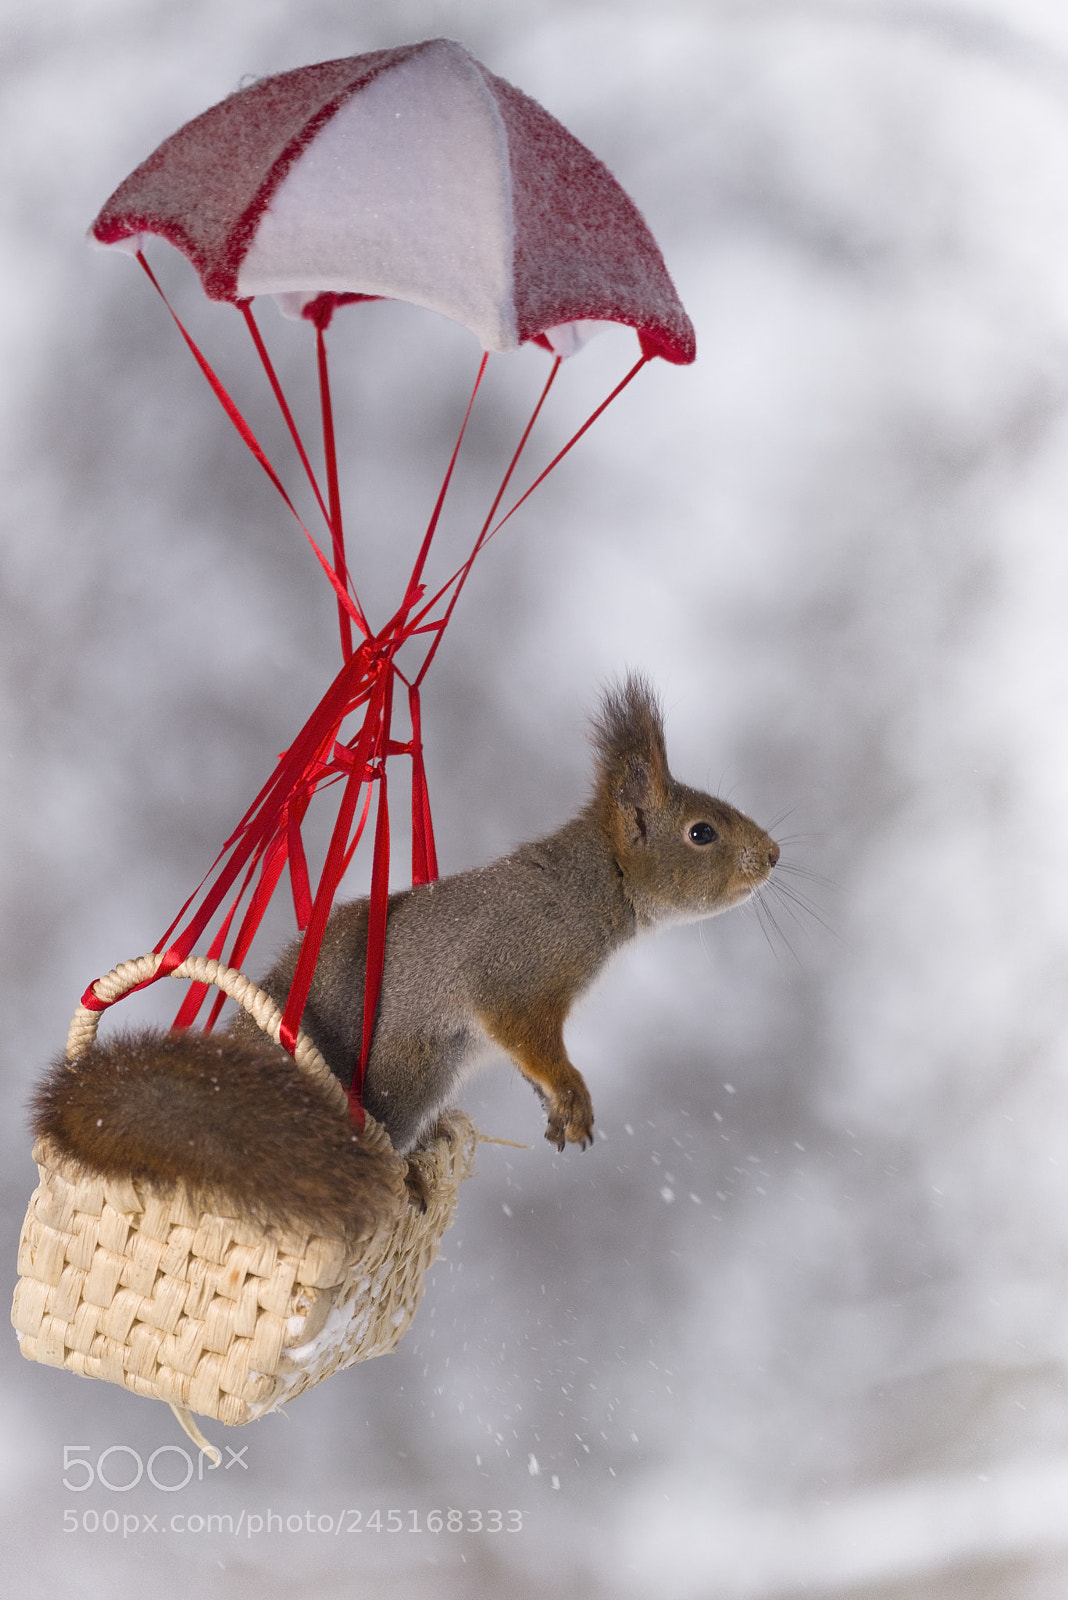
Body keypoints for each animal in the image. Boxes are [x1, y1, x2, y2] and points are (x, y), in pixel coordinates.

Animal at [229, 674, 780, 1155]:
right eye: (702, 833)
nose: (773, 854)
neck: (597, 884)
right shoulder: (520, 969)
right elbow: (527, 1037)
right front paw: (572, 1091)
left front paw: (555, 1108)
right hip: (411, 1071)